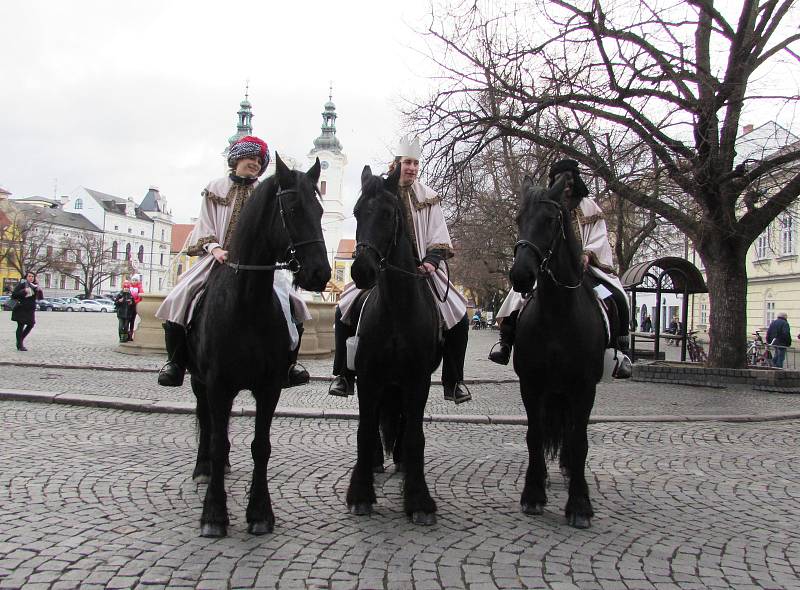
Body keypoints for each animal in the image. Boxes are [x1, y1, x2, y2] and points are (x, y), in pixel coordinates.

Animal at [187, 156, 328, 540]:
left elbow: (260, 446)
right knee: (207, 422)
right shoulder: (217, 384)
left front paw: (260, 512)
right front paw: (213, 514)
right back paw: (204, 468)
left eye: (320, 210)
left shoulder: (269, 387)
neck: (247, 304)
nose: (320, 274)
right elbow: (217, 440)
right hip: (198, 381)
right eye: (292, 209)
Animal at [346, 165, 440, 528]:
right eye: (357, 212)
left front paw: (418, 500)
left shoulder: (418, 380)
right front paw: (360, 494)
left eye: (388, 214)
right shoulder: (368, 377)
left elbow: (415, 433)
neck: (398, 308)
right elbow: (364, 428)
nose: (362, 270)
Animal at [510, 176, 604, 532]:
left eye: (550, 221)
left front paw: (579, 504)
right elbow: (534, 435)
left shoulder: (585, 387)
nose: (521, 275)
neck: (557, 315)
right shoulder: (531, 384)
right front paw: (533, 492)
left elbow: (579, 442)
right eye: (518, 219)